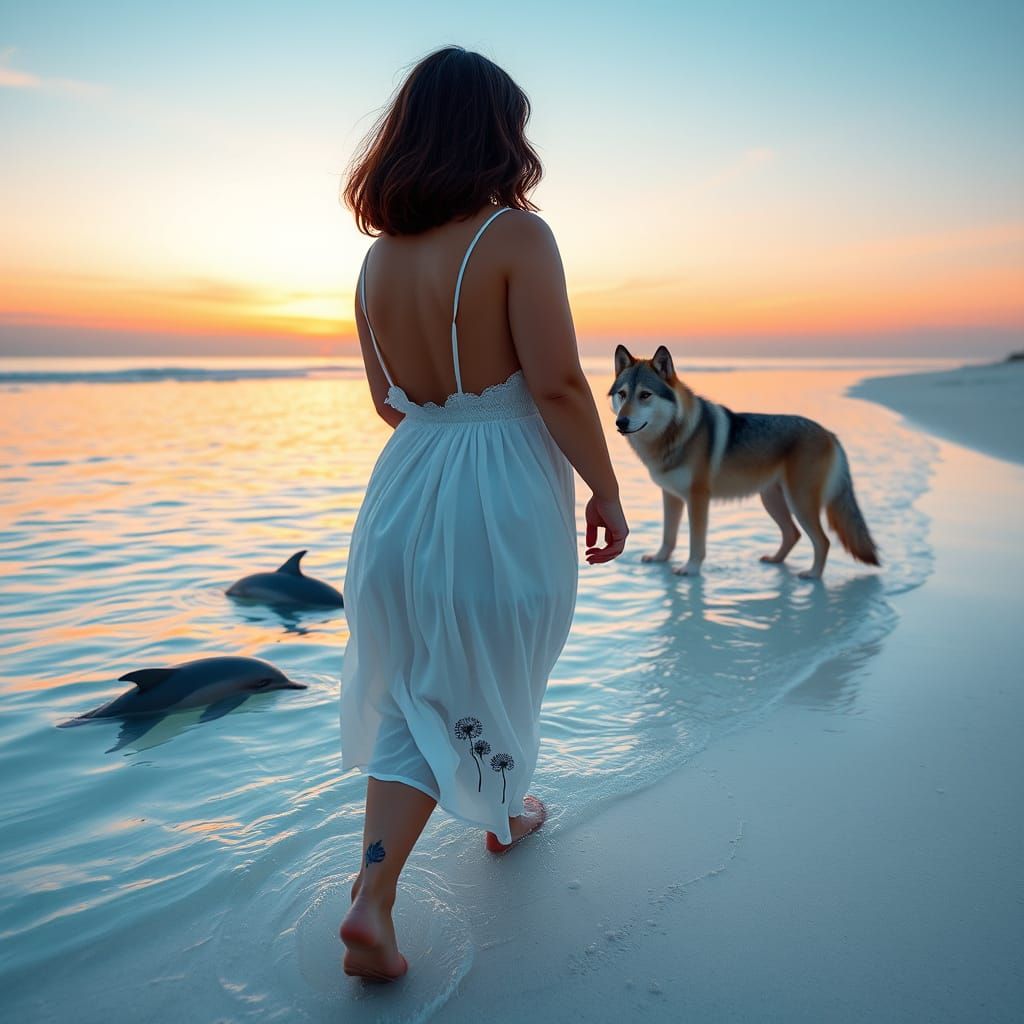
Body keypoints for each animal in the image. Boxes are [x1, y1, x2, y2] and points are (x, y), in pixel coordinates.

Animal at [610, 345, 879, 579]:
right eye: (622, 394)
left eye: (645, 395)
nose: (620, 422)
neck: (675, 434)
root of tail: (830, 434)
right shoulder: (671, 496)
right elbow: (669, 536)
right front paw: (660, 559)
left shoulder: (698, 499)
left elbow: (696, 542)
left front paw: (690, 569)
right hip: (772, 499)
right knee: (792, 534)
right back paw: (775, 561)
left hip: (799, 502)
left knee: (822, 541)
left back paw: (812, 575)